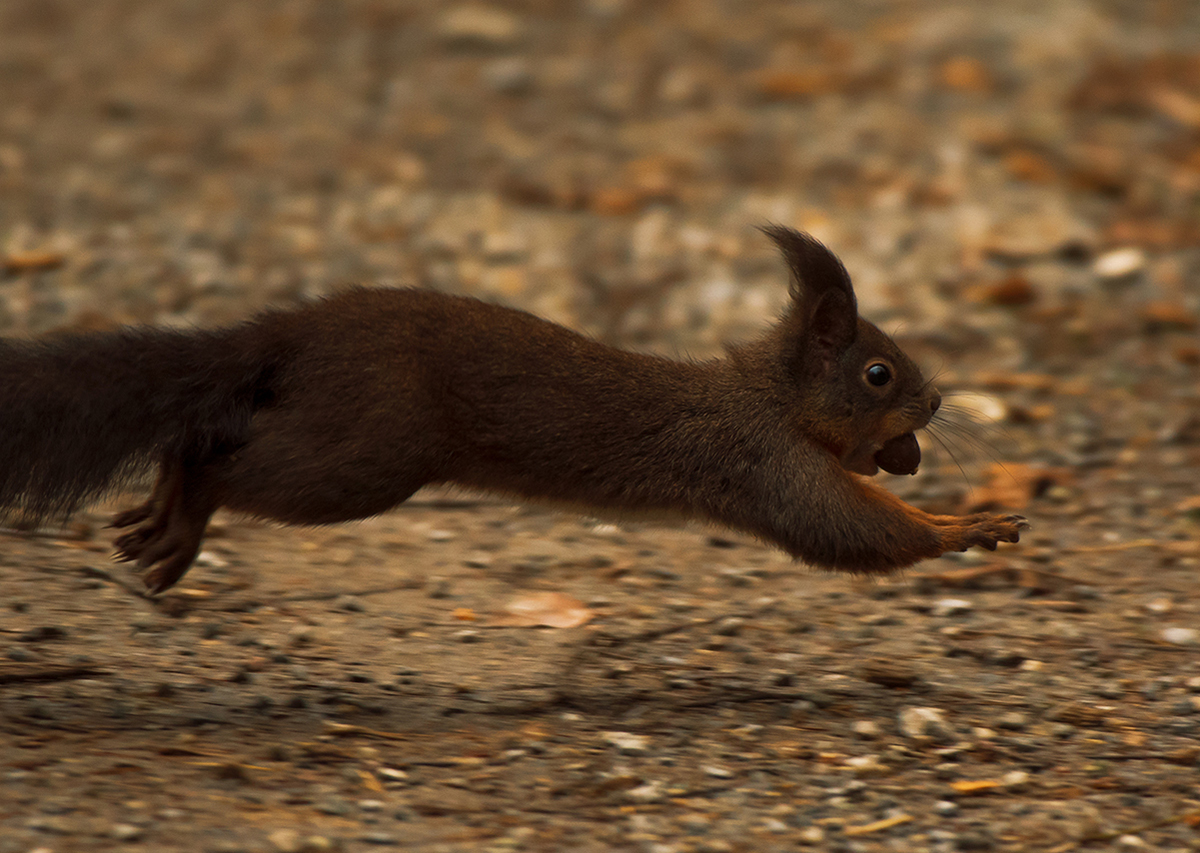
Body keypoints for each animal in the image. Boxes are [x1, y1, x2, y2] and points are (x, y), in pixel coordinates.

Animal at [2, 225, 1022, 595]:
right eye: (880, 373)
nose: (938, 399)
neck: (769, 397)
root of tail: (290, 334)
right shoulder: (762, 460)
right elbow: (850, 528)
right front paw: (967, 527)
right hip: (362, 457)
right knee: (213, 456)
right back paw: (181, 519)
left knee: (197, 437)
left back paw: (158, 518)